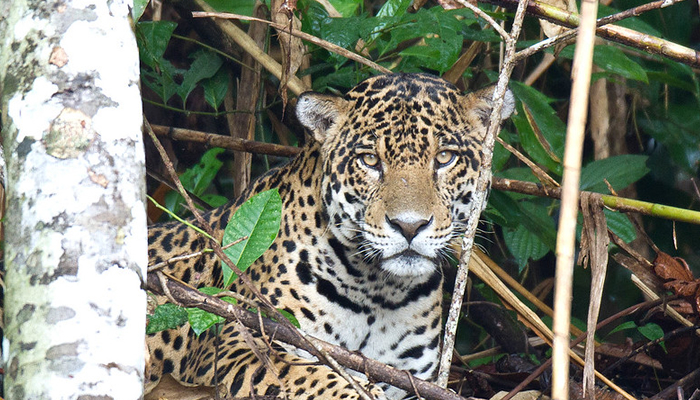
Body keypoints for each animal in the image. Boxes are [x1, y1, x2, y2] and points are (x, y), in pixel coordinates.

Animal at [145, 73, 515, 399]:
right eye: (370, 160)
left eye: (445, 158)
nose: (409, 226)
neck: (380, 294)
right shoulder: (242, 342)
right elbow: (313, 377)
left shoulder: (411, 377)